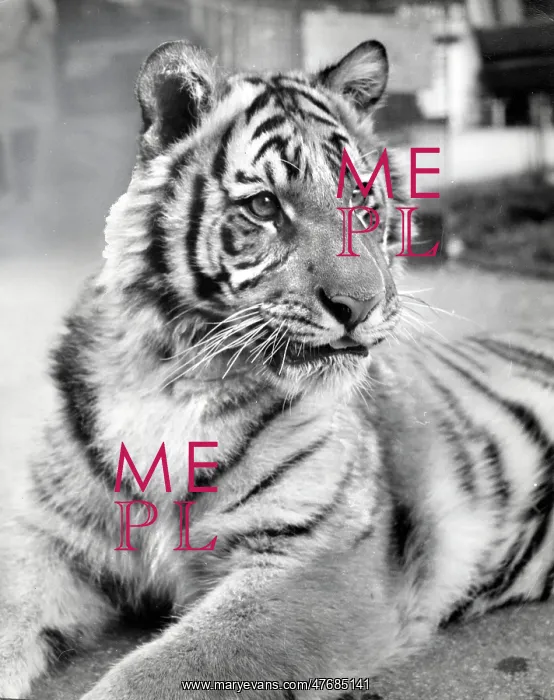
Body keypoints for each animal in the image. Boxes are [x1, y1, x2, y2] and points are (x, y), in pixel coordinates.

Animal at [1, 38, 553, 700]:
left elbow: (154, 672)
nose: (361, 306)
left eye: (362, 204)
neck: (172, 377)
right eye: (265, 206)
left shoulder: (314, 564)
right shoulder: (48, 536)